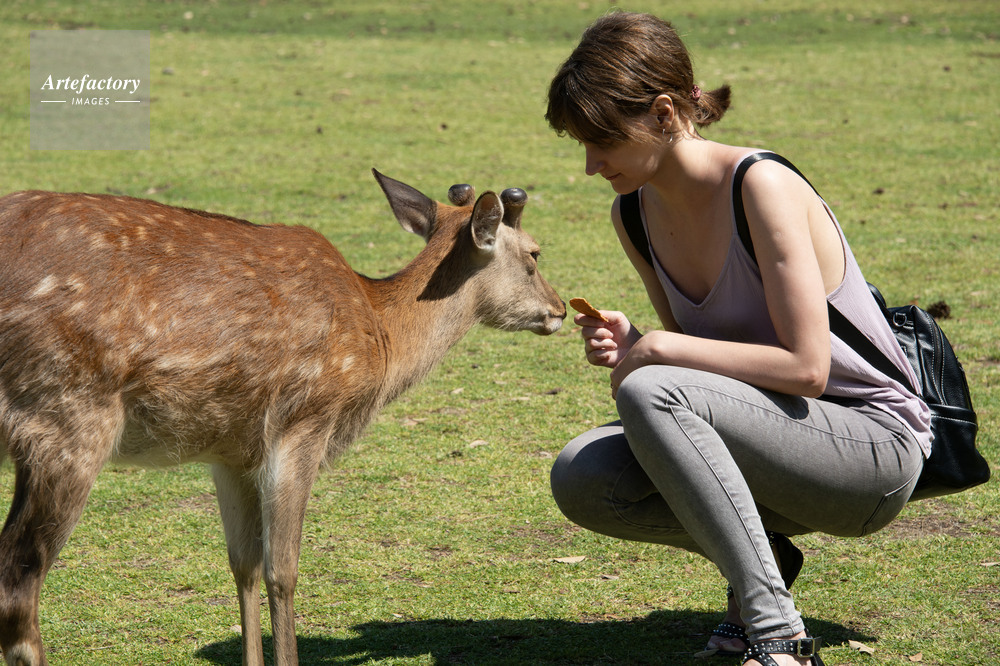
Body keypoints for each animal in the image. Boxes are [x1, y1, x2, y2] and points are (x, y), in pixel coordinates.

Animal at [0, 170, 566, 666]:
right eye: (535, 253)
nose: (560, 309)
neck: (381, 333)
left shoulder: (230, 452)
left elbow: (243, 566)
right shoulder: (304, 422)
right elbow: (283, 570)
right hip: (67, 416)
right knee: (18, 581)